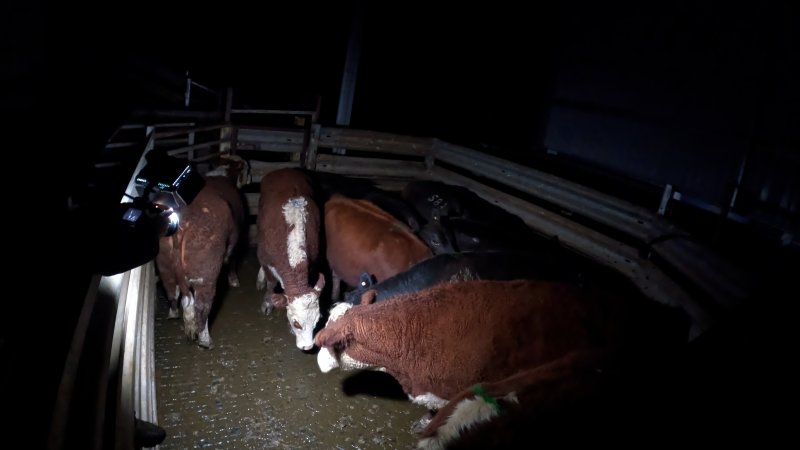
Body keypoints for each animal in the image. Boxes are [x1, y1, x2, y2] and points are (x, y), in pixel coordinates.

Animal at [253, 167, 322, 350]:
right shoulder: (264, 257)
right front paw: (267, 303)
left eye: (317, 321)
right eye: (297, 323)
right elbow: (271, 283)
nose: (308, 347)